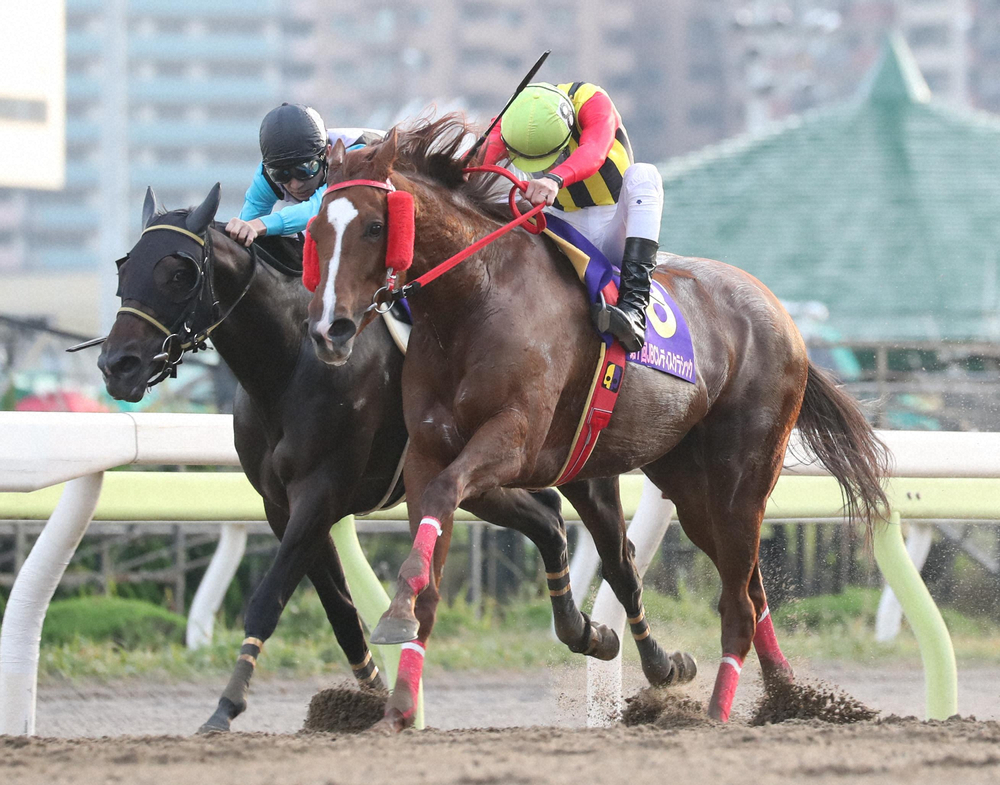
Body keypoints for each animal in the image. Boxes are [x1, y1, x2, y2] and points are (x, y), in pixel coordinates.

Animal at [98, 184, 676, 733]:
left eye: (180, 272)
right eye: (124, 266)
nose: (116, 365)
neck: (289, 366)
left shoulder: (321, 491)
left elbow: (270, 596)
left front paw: (226, 706)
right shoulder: (282, 506)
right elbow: (339, 611)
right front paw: (374, 694)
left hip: (576, 466)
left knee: (619, 560)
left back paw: (660, 665)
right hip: (482, 482)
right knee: (549, 522)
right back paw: (588, 632)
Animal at [305, 117, 889, 731]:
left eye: (374, 226)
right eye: (316, 230)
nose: (329, 330)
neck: (474, 301)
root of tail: (784, 316)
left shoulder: (513, 439)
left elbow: (449, 496)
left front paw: (395, 613)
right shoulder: (428, 454)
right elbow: (436, 569)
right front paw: (396, 708)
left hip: (744, 477)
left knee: (736, 605)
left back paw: (714, 716)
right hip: (691, 487)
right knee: (749, 591)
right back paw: (785, 699)